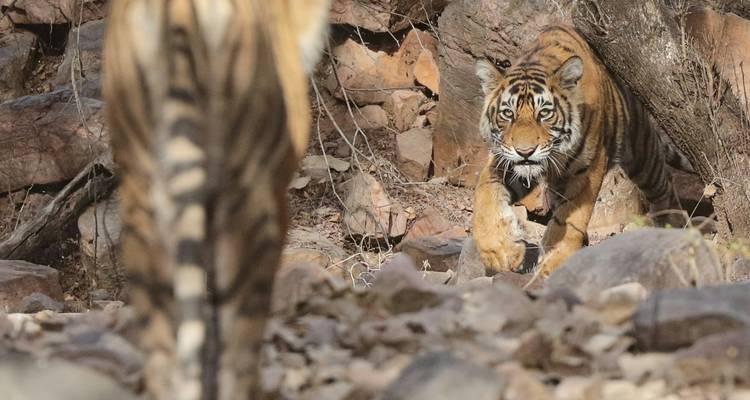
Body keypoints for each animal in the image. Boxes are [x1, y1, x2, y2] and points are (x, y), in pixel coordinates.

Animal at [472, 24, 692, 278]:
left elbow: (571, 218)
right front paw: (499, 251)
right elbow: (484, 195)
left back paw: (673, 226)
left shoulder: (588, 169)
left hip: (642, 153)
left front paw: (555, 260)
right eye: (508, 114)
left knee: (664, 186)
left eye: (544, 113)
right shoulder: (505, 160)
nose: (525, 151)